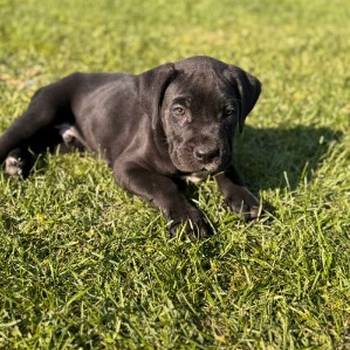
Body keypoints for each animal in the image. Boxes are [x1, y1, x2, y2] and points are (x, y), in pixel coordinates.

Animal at [0, 56, 262, 237]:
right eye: (179, 111)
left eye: (228, 113)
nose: (206, 154)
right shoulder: (127, 167)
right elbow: (165, 185)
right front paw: (188, 219)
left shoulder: (227, 153)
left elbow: (229, 172)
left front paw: (247, 201)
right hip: (41, 113)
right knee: (13, 137)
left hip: (67, 143)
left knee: (36, 144)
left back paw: (17, 163)